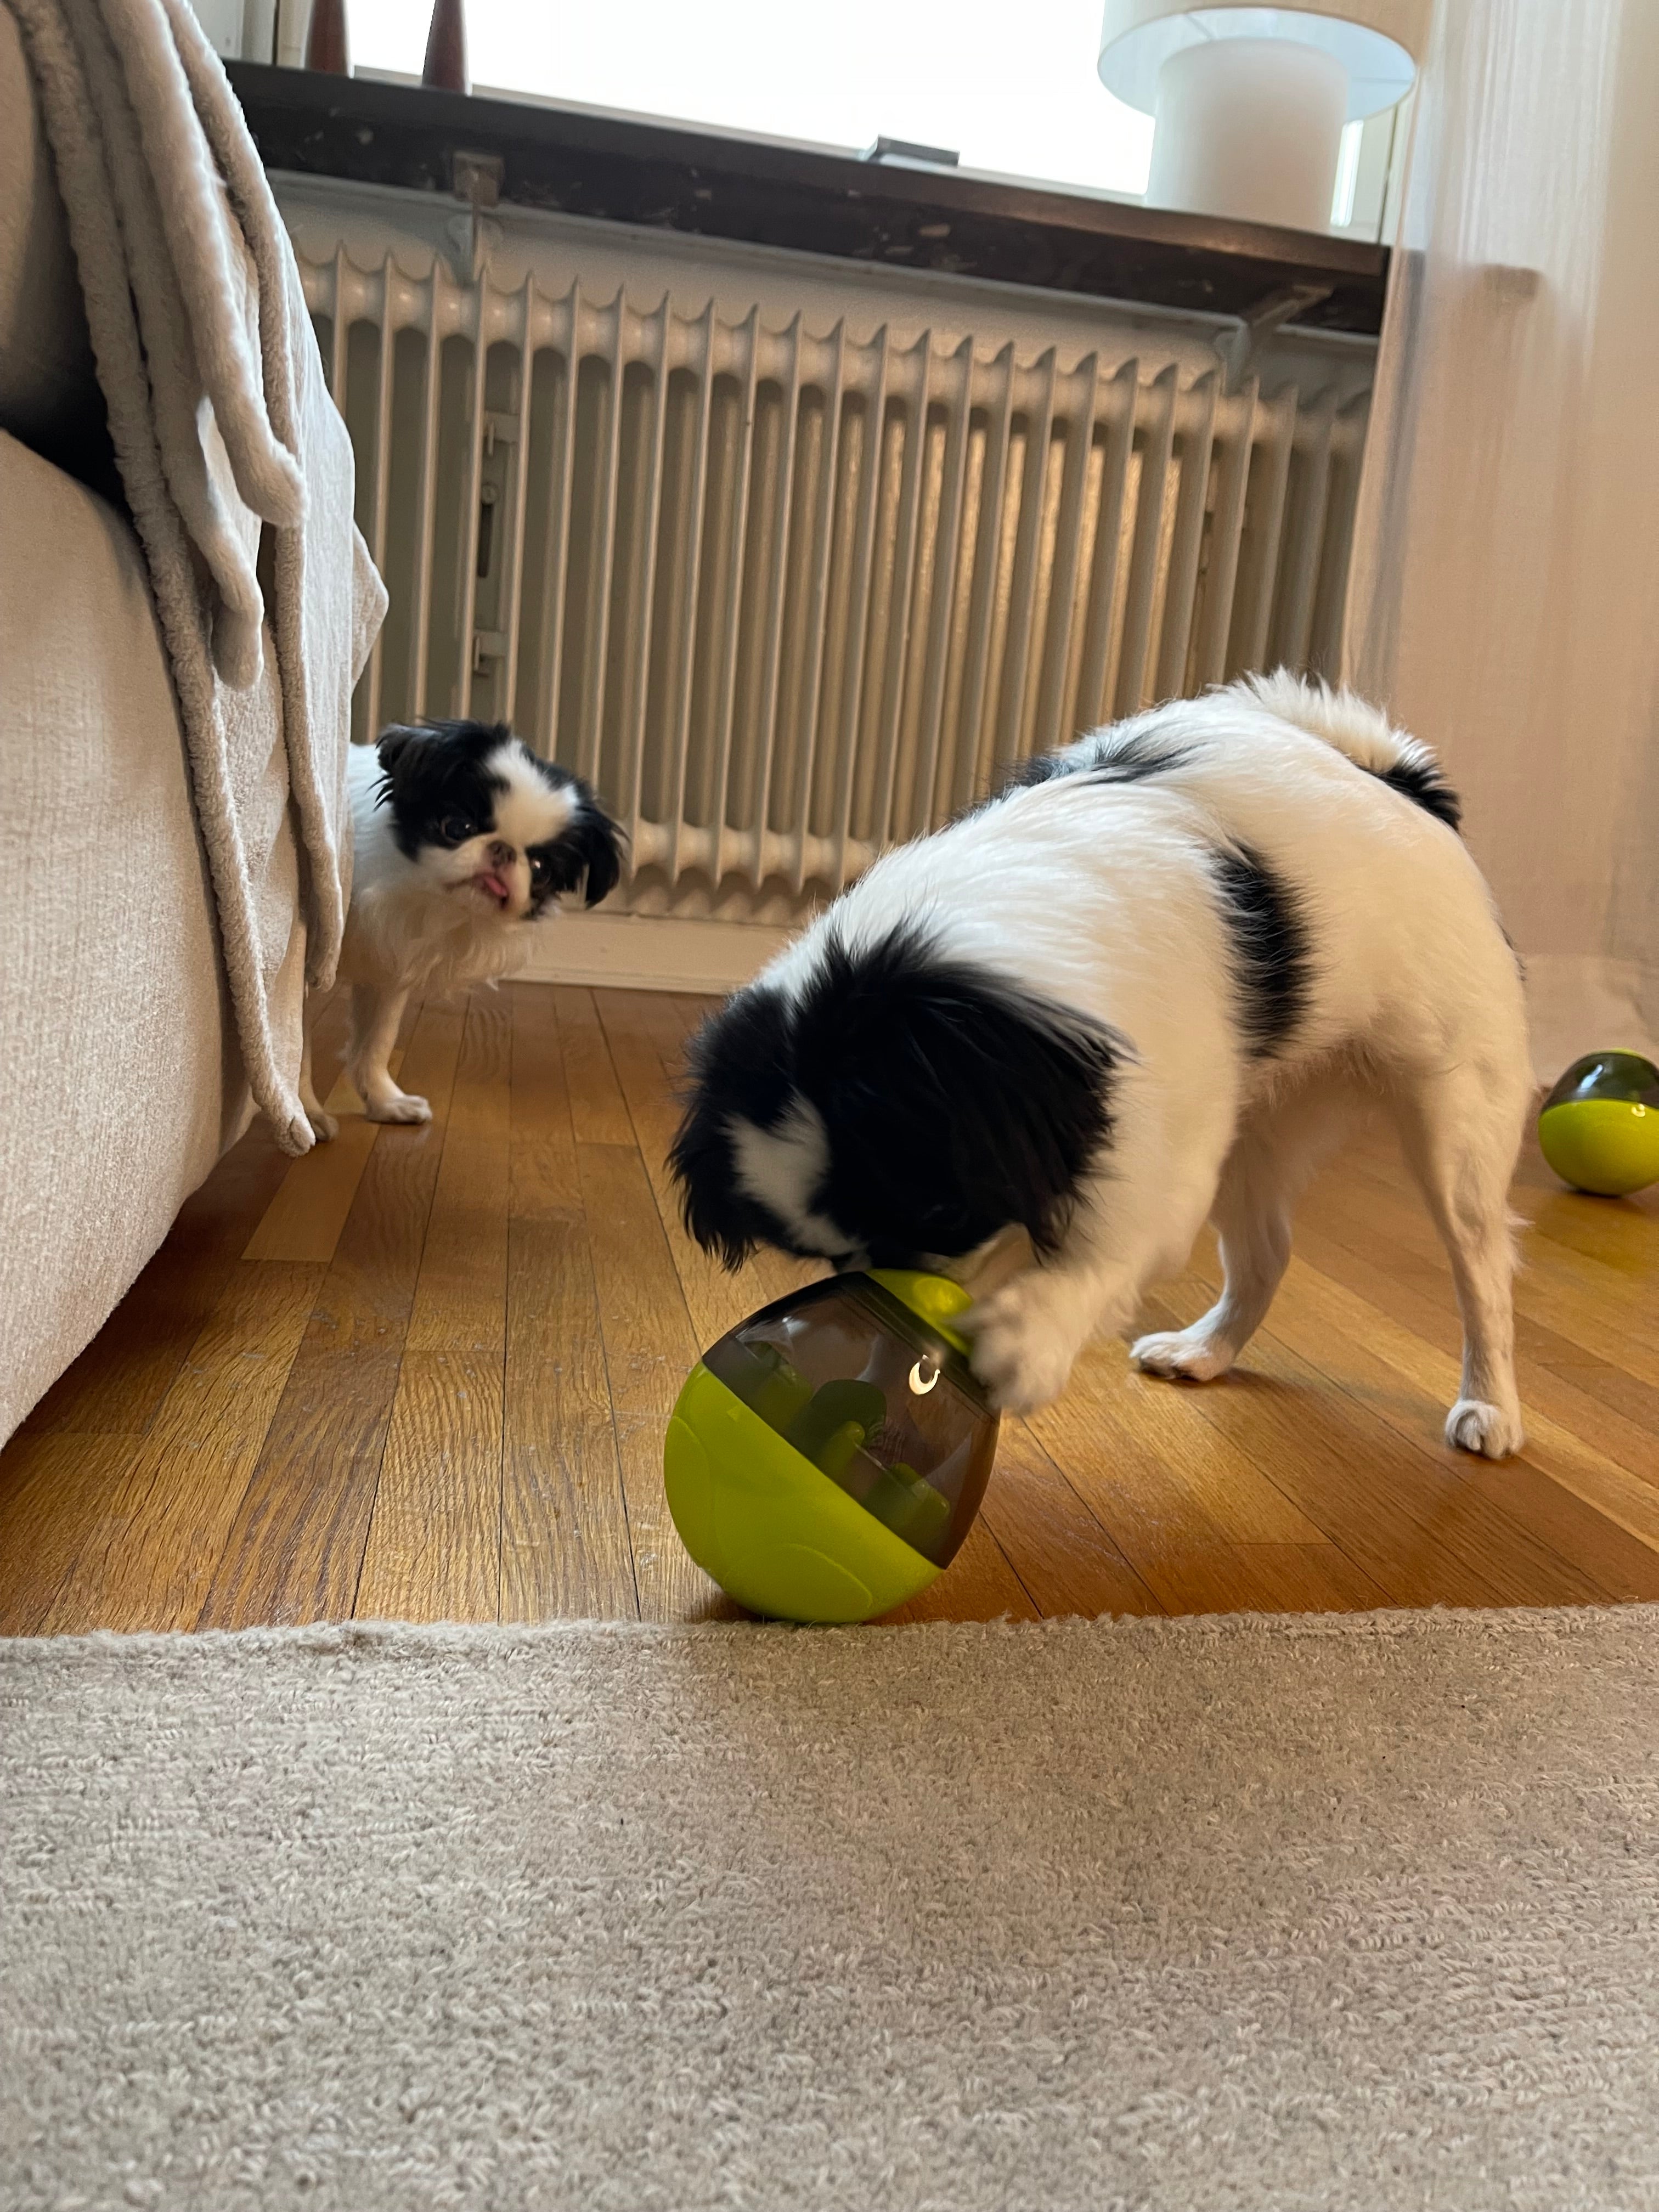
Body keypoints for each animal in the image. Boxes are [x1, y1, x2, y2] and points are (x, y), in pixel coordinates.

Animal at [303, 721, 628, 1141]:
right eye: (458, 828)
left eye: (541, 869)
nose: (503, 850)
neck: (422, 896)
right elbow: (293, 1048)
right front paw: (306, 1116)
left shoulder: (387, 970)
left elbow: (376, 1043)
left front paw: (385, 1103)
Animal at [668, 672, 1539, 1469]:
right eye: (829, 1261)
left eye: (943, 1210)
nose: (902, 1286)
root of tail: (1401, 781)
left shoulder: (1148, 1152)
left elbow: (1109, 1252)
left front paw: (1030, 1340)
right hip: (1255, 1137)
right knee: (1267, 1254)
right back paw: (1206, 1353)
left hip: (1455, 1124)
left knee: (1483, 1276)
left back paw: (1490, 1409)